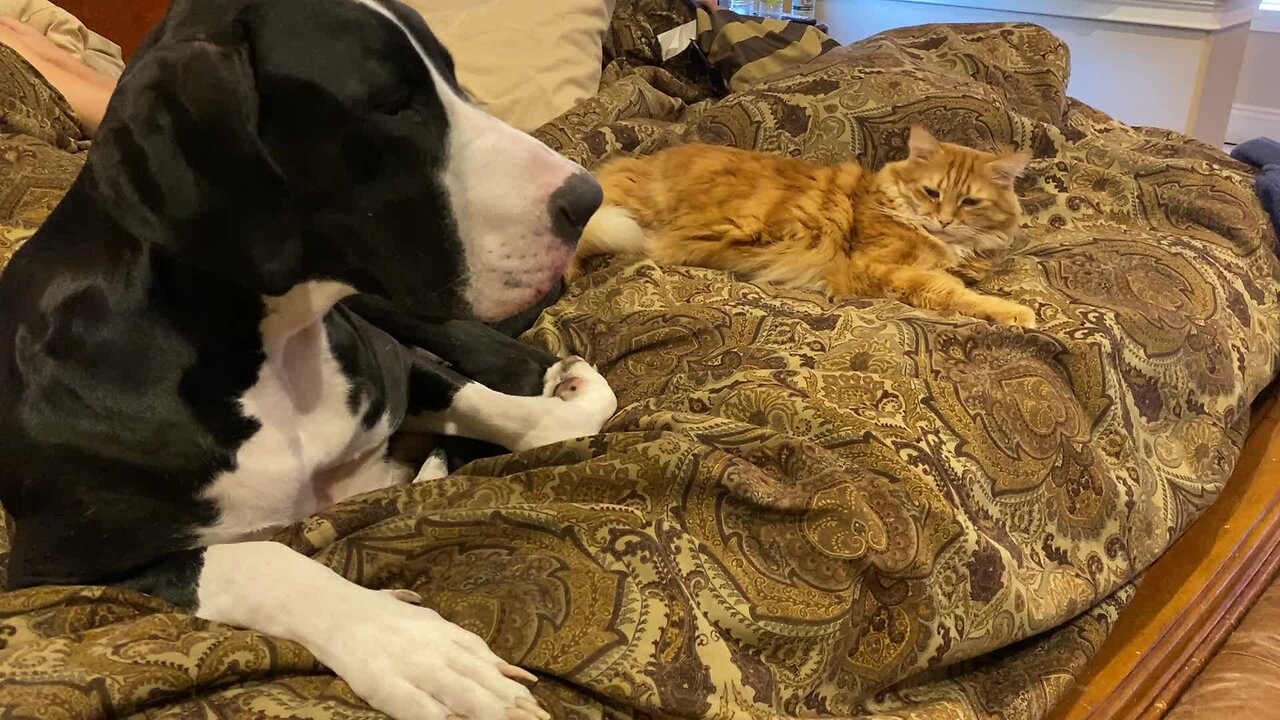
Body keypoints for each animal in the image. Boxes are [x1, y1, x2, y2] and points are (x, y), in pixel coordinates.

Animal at [565, 125, 1034, 325]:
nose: (943, 221)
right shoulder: (874, 268)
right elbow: (950, 292)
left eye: (970, 202)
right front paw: (1014, 312)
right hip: (621, 215)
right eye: (932, 193)